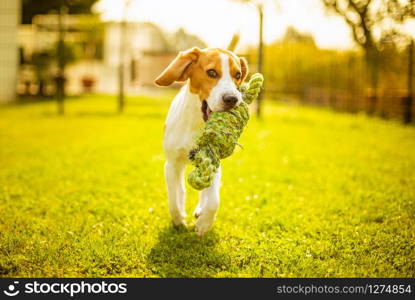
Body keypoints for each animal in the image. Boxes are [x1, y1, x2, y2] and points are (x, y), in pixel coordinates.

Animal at [154, 47, 249, 236]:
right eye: (211, 72)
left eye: (238, 74)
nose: (232, 99)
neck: (196, 123)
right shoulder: (171, 164)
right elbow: (173, 199)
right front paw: (178, 220)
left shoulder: (213, 161)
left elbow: (213, 201)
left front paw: (204, 224)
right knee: (180, 191)